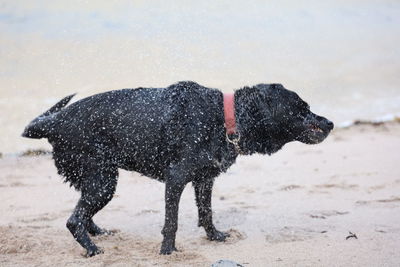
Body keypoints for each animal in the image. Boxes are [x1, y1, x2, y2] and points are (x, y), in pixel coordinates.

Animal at [22, 81, 334, 258]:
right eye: (302, 108)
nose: (330, 122)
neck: (222, 118)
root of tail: (54, 121)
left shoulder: (205, 179)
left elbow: (206, 212)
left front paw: (215, 236)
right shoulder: (176, 179)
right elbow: (170, 222)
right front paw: (168, 251)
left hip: (97, 179)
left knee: (84, 214)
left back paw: (99, 233)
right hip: (102, 181)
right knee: (74, 220)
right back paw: (92, 250)